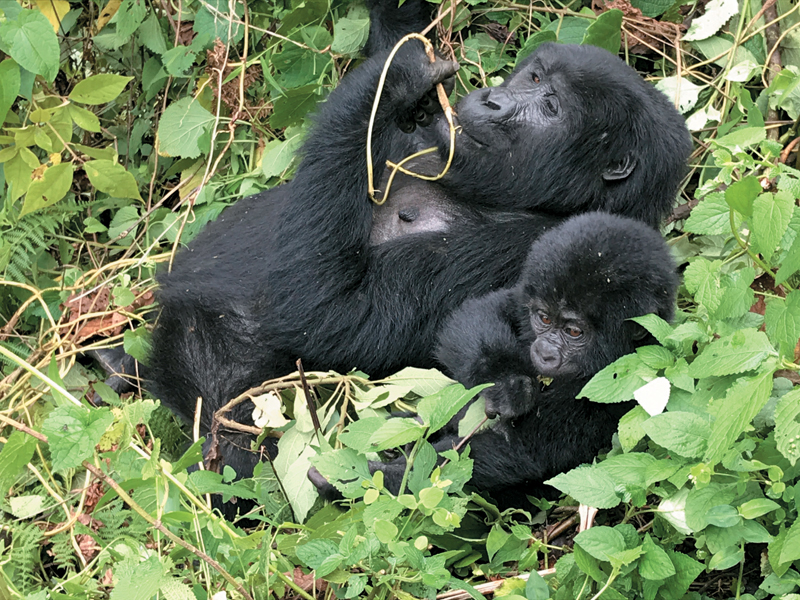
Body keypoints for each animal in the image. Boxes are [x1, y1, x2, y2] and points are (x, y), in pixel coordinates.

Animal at [310, 213, 676, 504]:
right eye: (543, 318)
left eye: (574, 332)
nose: (544, 352)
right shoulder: (520, 302)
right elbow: (479, 312)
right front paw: (507, 385)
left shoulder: (614, 390)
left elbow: (516, 451)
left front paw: (359, 480)